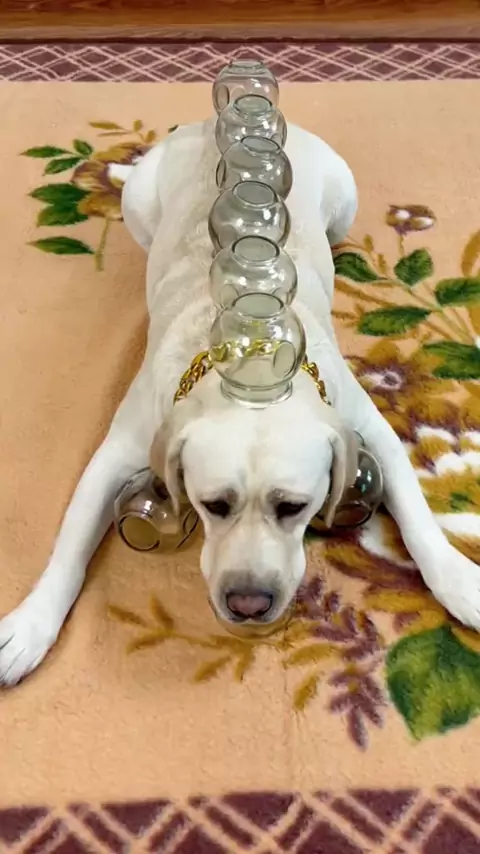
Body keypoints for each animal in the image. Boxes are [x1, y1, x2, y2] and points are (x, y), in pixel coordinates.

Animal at [0, 116, 479, 686]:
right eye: (214, 505)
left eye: (294, 507)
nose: (248, 604)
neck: (252, 366)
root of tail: (207, 122)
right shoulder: (118, 450)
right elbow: (69, 545)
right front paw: (30, 625)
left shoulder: (371, 426)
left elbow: (419, 517)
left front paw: (460, 580)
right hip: (136, 198)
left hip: (344, 197)